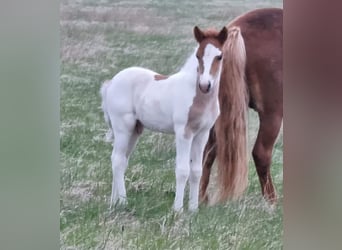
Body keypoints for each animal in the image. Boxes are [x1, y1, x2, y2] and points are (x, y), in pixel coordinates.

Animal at [100, 26, 228, 211]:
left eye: (220, 56)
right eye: (198, 55)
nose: (205, 85)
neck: (199, 97)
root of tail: (111, 83)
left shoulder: (202, 134)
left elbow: (197, 171)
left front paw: (194, 209)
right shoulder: (183, 132)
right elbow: (182, 170)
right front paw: (178, 209)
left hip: (135, 130)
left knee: (121, 159)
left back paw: (114, 201)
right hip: (123, 126)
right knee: (117, 160)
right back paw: (123, 202)